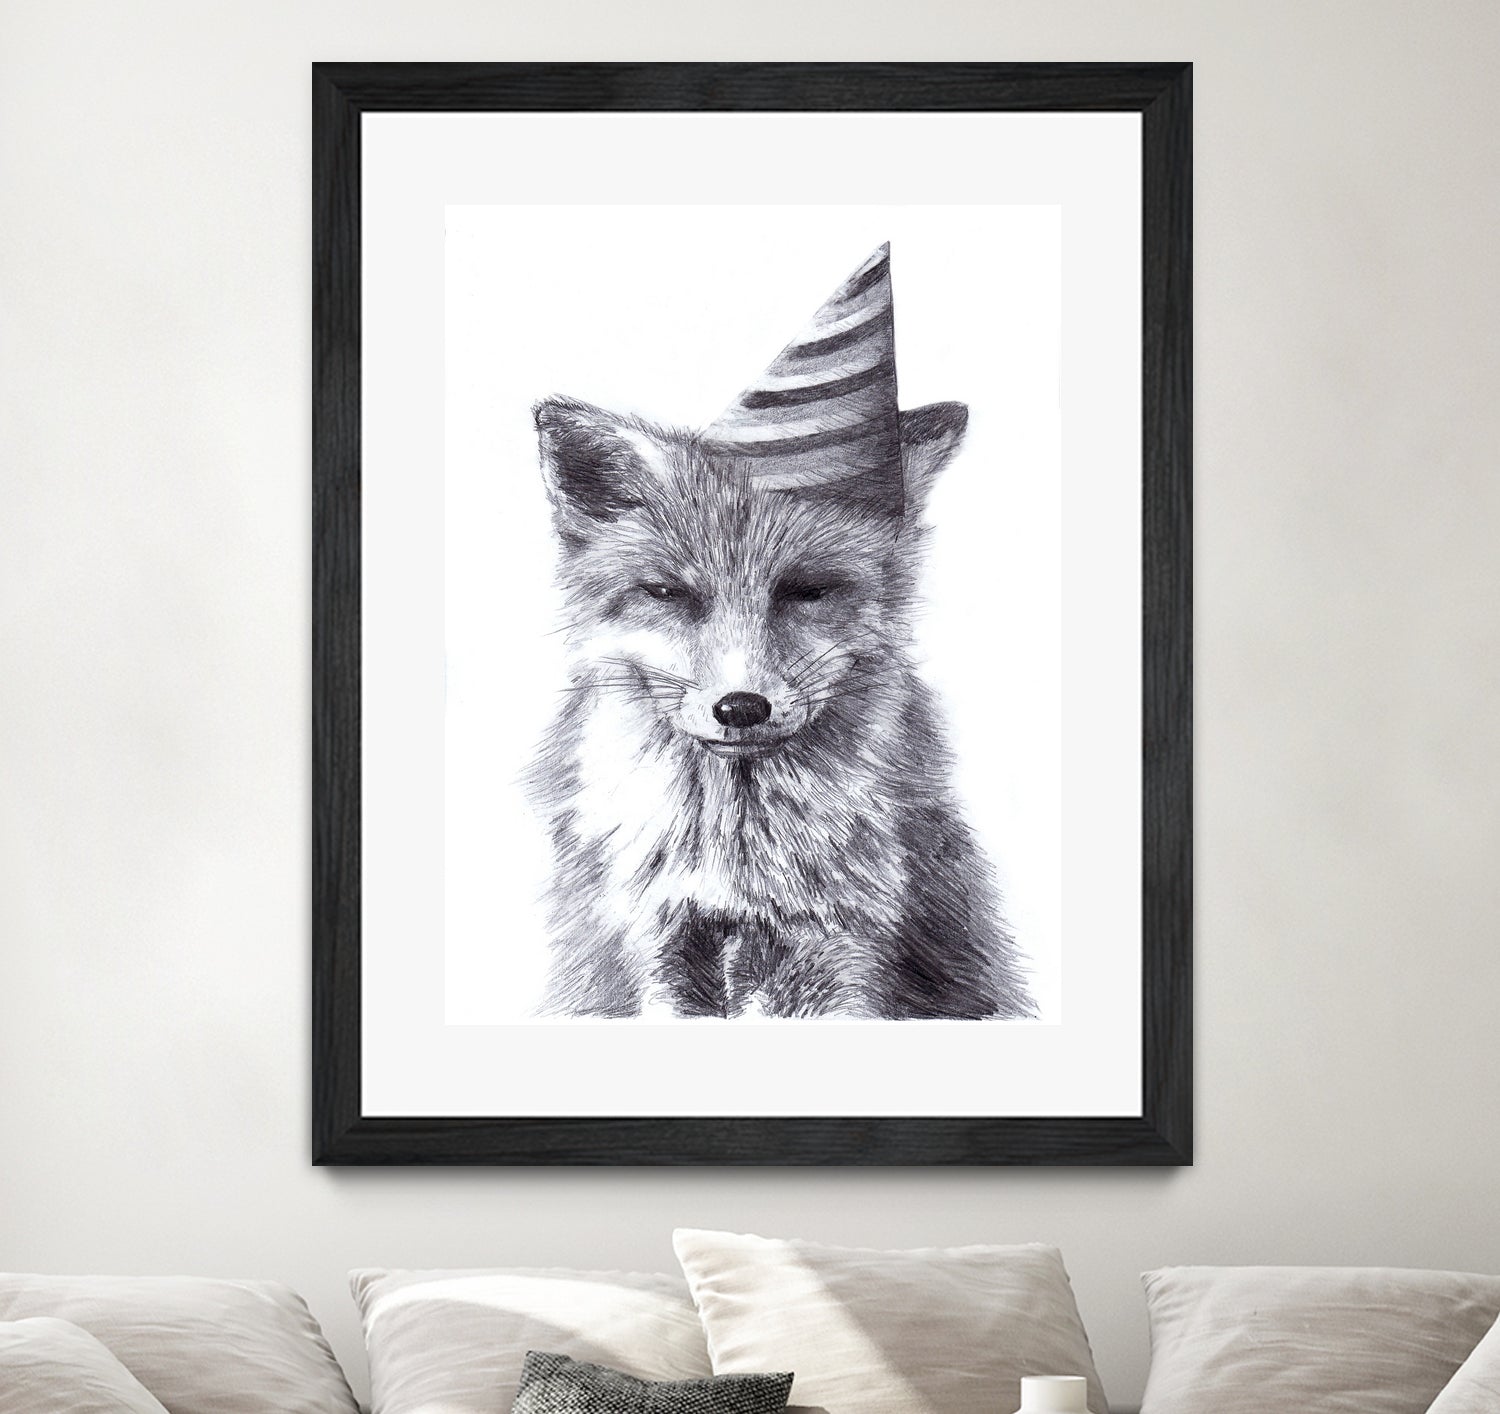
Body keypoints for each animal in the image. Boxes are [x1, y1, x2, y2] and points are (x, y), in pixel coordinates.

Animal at [523, 393, 1037, 1021]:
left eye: (807, 590)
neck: (738, 867)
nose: (741, 707)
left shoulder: (845, 948)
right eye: (667, 593)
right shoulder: (654, 948)